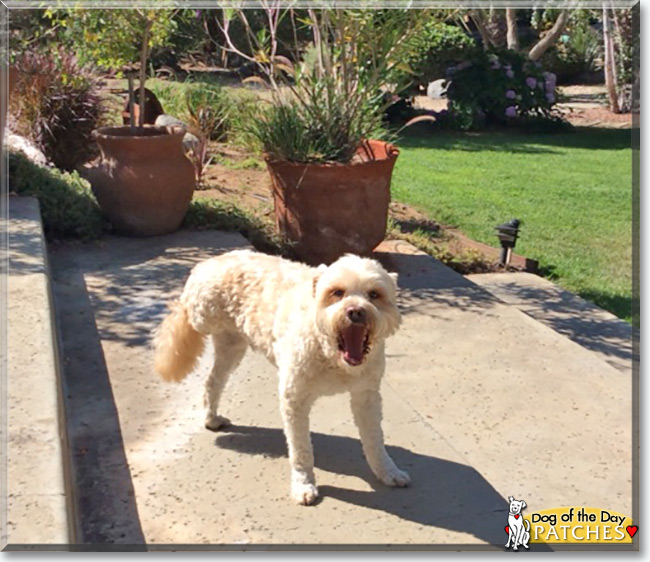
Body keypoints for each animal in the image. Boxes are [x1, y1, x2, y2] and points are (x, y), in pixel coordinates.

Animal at [153, 249, 408, 504]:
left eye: (374, 294)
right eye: (337, 292)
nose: (355, 311)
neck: (331, 355)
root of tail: (210, 261)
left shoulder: (366, 397)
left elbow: (375, 440)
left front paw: (388, 471)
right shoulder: (294, 399)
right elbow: (301, 449)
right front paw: (303, 484)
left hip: (232, 346)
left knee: (213, 382)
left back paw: (211, 418)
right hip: (204, 318)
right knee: (184, 316)